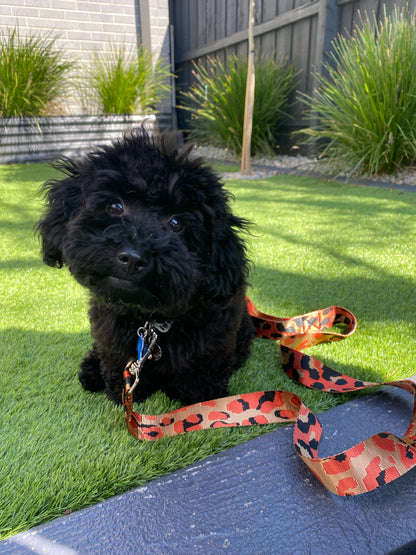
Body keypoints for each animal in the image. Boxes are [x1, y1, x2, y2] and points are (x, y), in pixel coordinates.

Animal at [37, 129, 255, 404]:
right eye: (115, 206)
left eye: (176, 223)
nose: (133, 257)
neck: (151, 320)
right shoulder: (112, 337)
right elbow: (117, 364)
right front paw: (120, 392)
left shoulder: (212, 343)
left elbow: (200, 377)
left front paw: (203, 401)